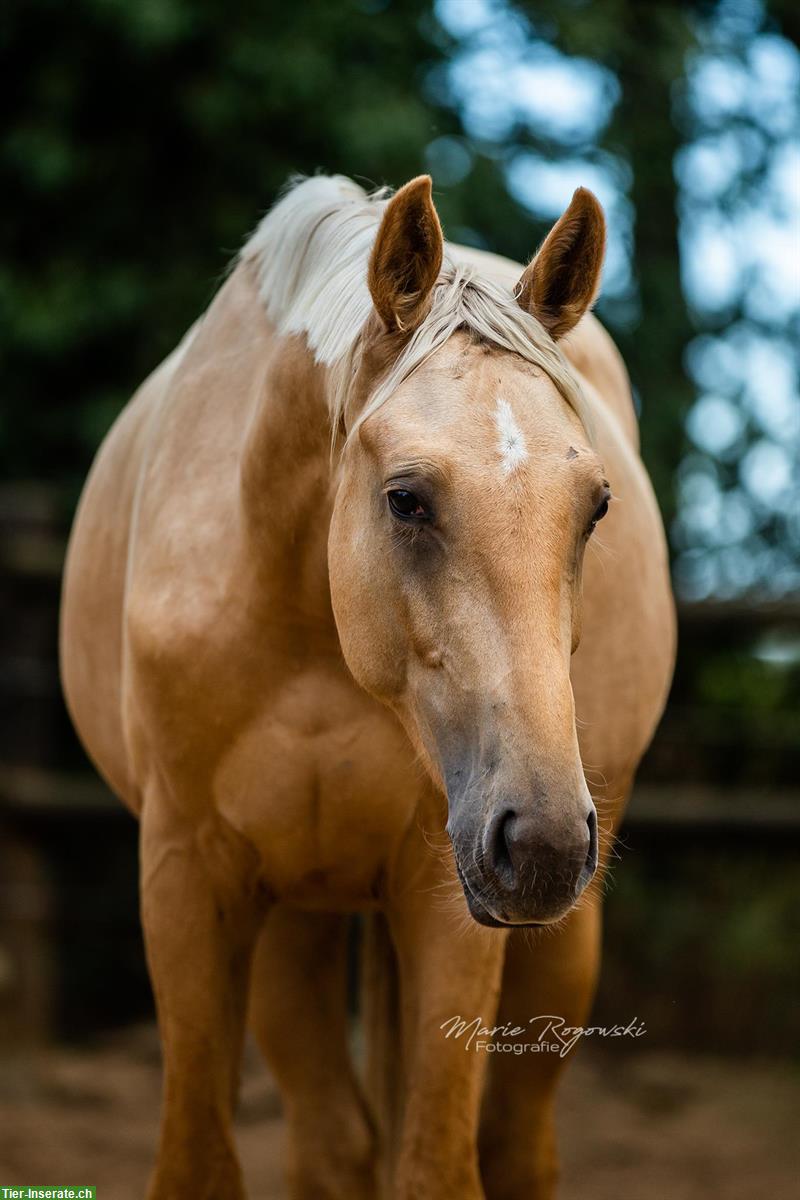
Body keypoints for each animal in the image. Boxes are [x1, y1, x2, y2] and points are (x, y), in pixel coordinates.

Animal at [61, 171, 676, 1200]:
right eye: (405, 498)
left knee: (512, 1146)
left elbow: (436, 1164)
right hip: (292, 917)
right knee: (331, 1142)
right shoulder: (185, 873)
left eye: (595, 507)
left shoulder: (444, 891)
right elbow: (200, 1160)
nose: (544, 842)